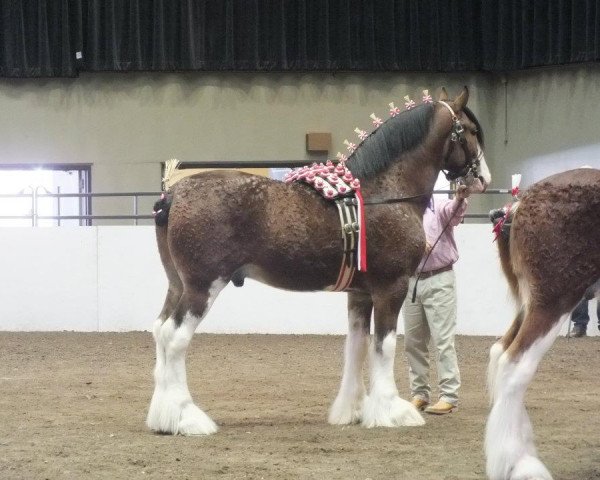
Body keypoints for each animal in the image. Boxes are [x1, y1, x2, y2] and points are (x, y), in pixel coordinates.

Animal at [148, 86, 490, 436]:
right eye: (470, 131)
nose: (483, 179)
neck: (384, 193)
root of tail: (173, 194)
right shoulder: (390, 289)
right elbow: (385, 346)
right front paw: (392, 411)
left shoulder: (360, 294)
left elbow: (357, 346)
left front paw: (352, 410)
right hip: (202, 287)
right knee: (175, 337)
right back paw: (186, 418)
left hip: (177, 285)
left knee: (160, 330)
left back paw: (163, 417)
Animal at [488, 167, 600, 478]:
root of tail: (519, 204)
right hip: (554, 301)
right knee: (515, 366)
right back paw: (518, 464)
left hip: (530, 304)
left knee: (500, 351)